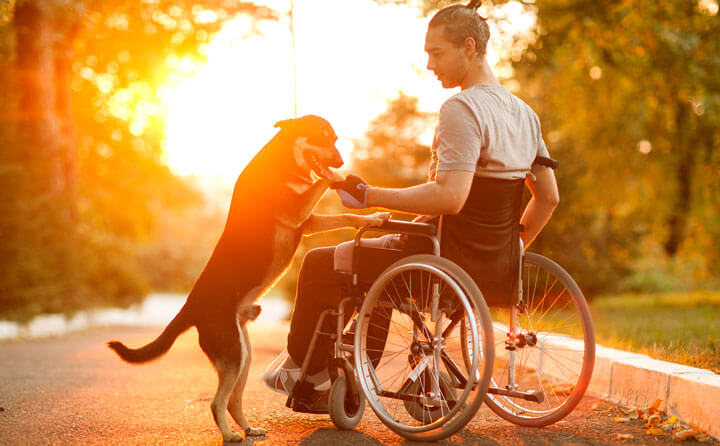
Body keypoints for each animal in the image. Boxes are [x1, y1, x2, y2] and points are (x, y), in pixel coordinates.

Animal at [107, 115, 344, 442]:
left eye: (335, 139)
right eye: (322, 137)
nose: (341, 160)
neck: (283, 161)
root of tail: (190, 307)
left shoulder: (308, 222)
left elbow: (349, 218)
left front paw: (376, 215)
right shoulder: (297, 211)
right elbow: (323, 182)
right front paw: (344, 178)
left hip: (243, 354)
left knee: (233, 401)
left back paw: (247, 428)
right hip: (233, 354)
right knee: (217, 402)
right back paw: (230, 434)